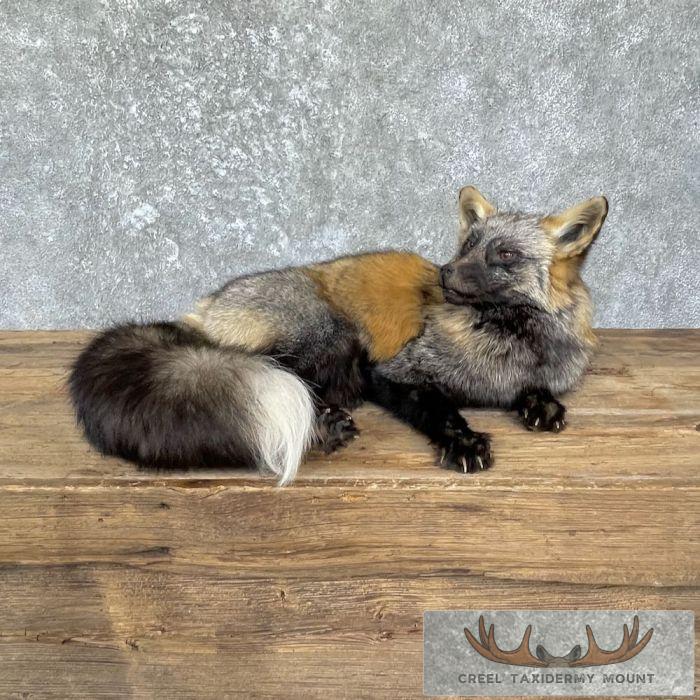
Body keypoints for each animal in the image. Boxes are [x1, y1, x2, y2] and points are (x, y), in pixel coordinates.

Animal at [69, 186, 608, 483]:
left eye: (505, 255)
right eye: (466, 247)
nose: (444, 274)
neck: (510, 350)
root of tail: (204, 308)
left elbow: (537, 393)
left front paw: (540, 405)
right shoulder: (393, 372)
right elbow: (443, 412)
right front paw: (465, 442)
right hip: (330, 337)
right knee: (280, 374)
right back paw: (323, 425)